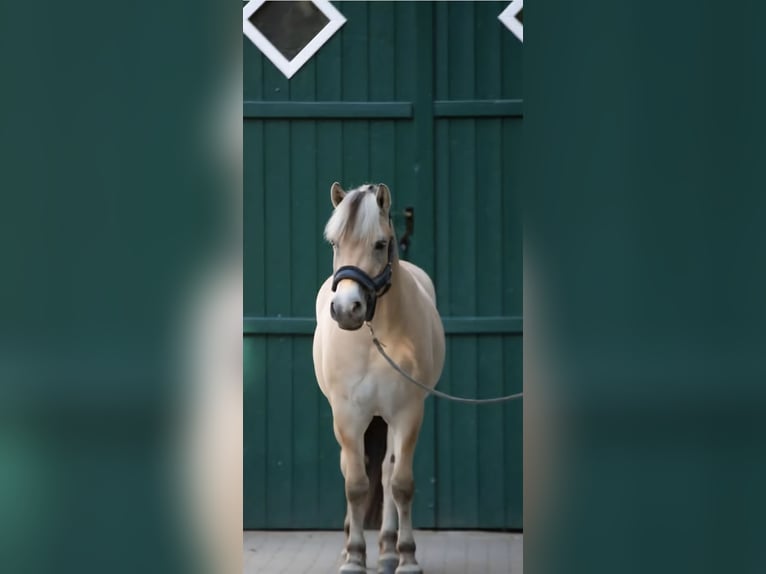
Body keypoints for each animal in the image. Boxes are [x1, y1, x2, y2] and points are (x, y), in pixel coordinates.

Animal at [313, 182, 445, 574]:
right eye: (335, 243)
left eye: (380, 244)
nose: (346, 310)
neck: (375, 338)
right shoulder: (347, 416)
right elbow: (356, 484)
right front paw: (355, 556)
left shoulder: (407, 413)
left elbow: (400, 484)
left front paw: (407, 556)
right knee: (351, 469)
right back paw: (350, 547)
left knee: (386, 474)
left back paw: (387, 550)